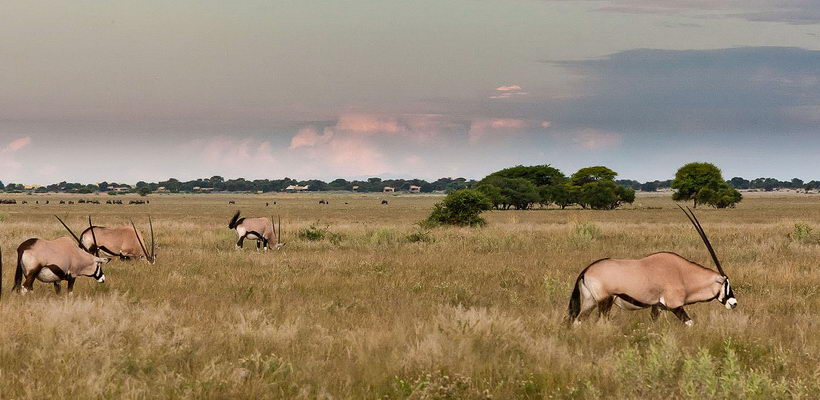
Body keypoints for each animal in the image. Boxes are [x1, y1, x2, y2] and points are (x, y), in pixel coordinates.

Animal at [572, 206, 736, 324]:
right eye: (726, 284)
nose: (734, 303)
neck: (684, 275)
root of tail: (586, 270)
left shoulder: (657, 307)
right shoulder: (675, 305)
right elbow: (690, 323)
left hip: (590, 302)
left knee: (577, 321)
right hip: (604, 302)